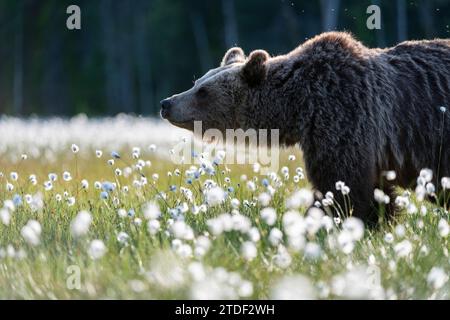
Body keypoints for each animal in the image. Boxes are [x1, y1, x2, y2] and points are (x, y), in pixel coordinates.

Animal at [161, 31, 450, 224]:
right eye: (198, 81)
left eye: (203, 92)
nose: (167, 103)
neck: (298, 105)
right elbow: (373, 191)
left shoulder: (345, 114)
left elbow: (343, 185)